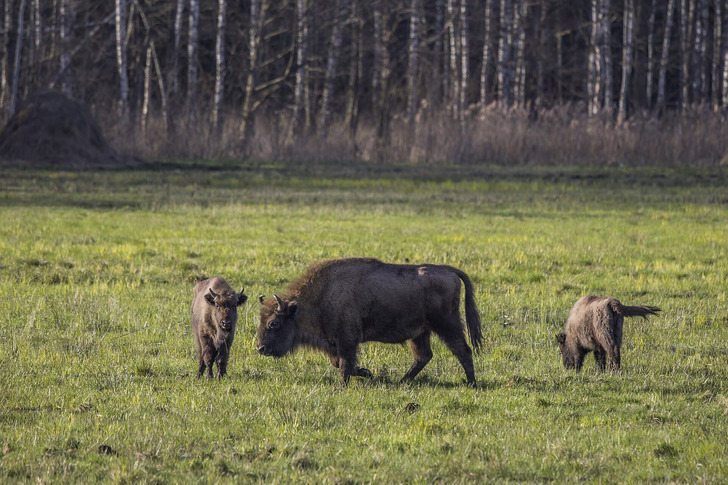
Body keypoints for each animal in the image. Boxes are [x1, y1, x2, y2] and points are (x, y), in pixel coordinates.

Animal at [256, 258, 483, 385]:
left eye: (274, 323)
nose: (260, 348)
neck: (322, 295)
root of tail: (449, 270)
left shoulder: (347, 340)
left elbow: (344, 364)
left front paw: (345, 384)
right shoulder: (334, 343)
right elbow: (339, 362)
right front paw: (366, 372)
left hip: (446, 324)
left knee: (462, 350)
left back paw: (471, 383)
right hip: (420, 332)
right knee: (423, 356)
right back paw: (403, 381)